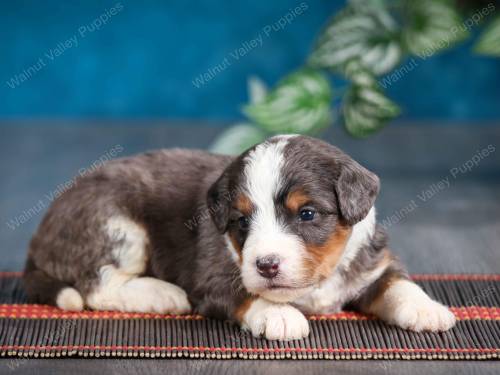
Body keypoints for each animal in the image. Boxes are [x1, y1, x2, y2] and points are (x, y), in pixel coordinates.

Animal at [23, 135, 456, 340]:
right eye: (241, 221)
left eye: (307, 214)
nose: (266, 265)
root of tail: (39, 235)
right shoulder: (211, 275)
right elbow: (247, 293)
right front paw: (281, 315)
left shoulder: (372, 261)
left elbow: (397, 283)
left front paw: (427, 309)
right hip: (115, 224)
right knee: (97, 285)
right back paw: (162, 294)